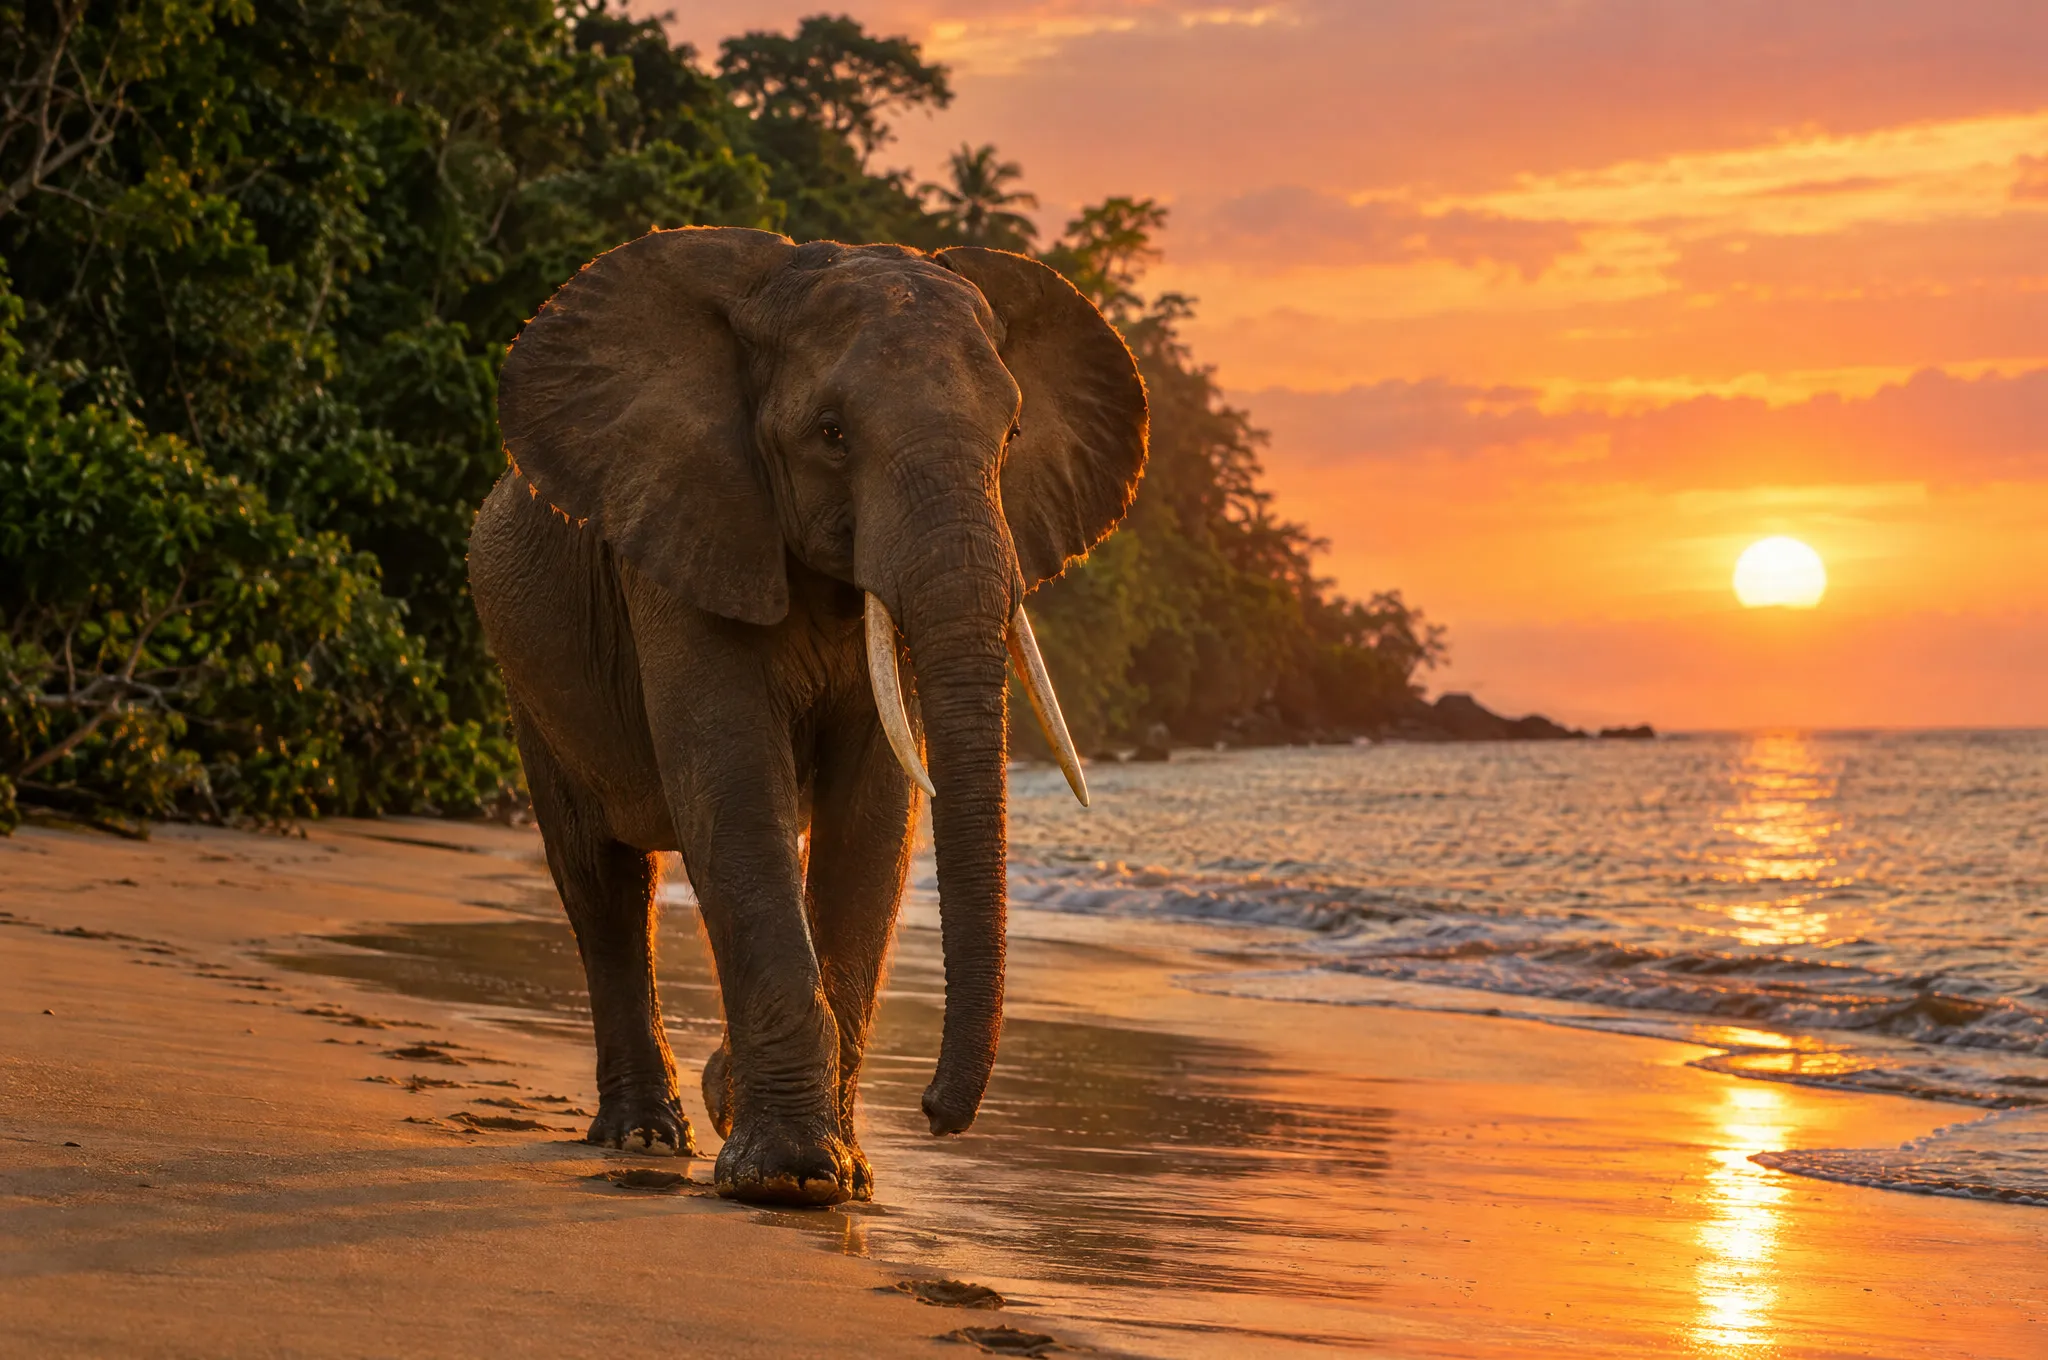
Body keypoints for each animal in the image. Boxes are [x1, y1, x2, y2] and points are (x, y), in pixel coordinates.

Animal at [466, 226, 1148, 1206]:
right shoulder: (687, 532)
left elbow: (874, 818)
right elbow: (737, 785)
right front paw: (785, 1179)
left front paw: (840, 1174)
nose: (937, 1116)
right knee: (601, 881)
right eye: (830, 434)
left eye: (1013, 435)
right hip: (526, 679)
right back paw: (641, 1136)